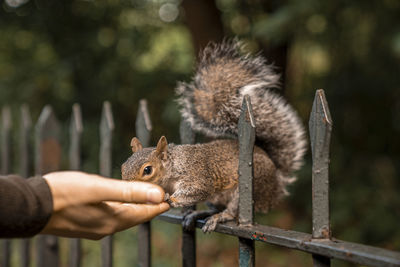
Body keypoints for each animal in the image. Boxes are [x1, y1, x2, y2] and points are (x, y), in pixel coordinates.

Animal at [121, 40, 306, 233]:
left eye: (147, 170)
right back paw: (199, 214)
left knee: (232, 212)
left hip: (251, 185)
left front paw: (170, 199)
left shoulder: (197, 176)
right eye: (123, 166)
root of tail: (276, 185)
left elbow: (198, 191)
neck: (173, 168)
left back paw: (220, 217)